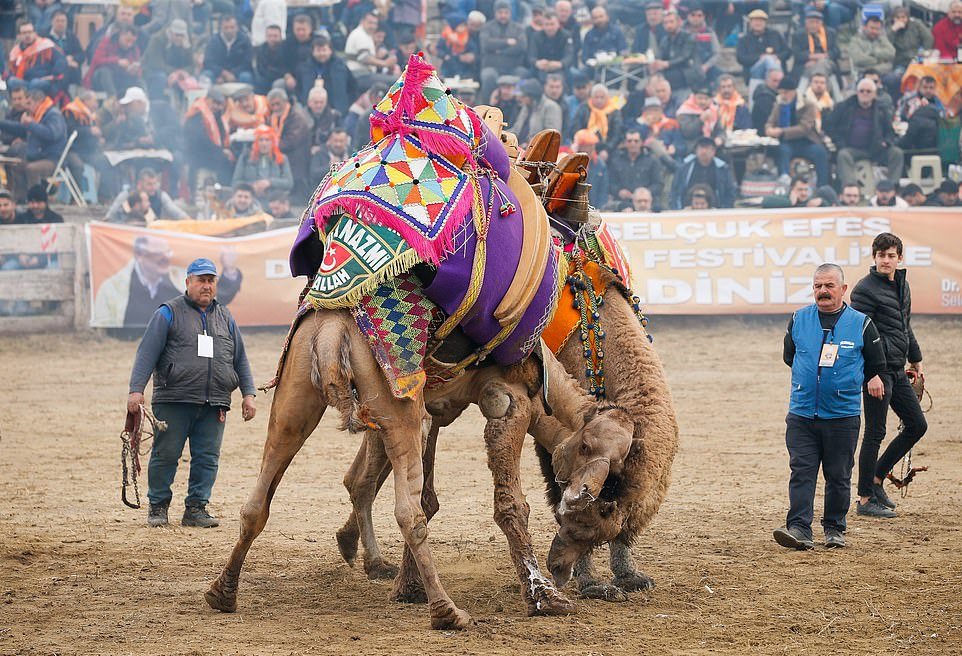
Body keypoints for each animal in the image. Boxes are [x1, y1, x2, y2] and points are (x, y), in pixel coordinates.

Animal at [205, 310, 632, 628]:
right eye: (588, 517)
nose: (559, 566)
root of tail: (332, 331)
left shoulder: (436, 412)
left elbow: (426, 497)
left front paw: (404, 587)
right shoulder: (506, 403)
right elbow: (507, 504)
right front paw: (545, 597)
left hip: (295, 402)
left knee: (258, 504)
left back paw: (223, 592)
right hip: (397, 412)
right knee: (403, 512)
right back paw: (447, 612)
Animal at [334, 268, 680, 604]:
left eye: (606, 522)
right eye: (579, 518)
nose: (559, 567)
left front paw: (629, 576)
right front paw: (589, 584)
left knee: (365, 477)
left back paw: (356, 548)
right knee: (363, 478)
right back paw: (374, 562)